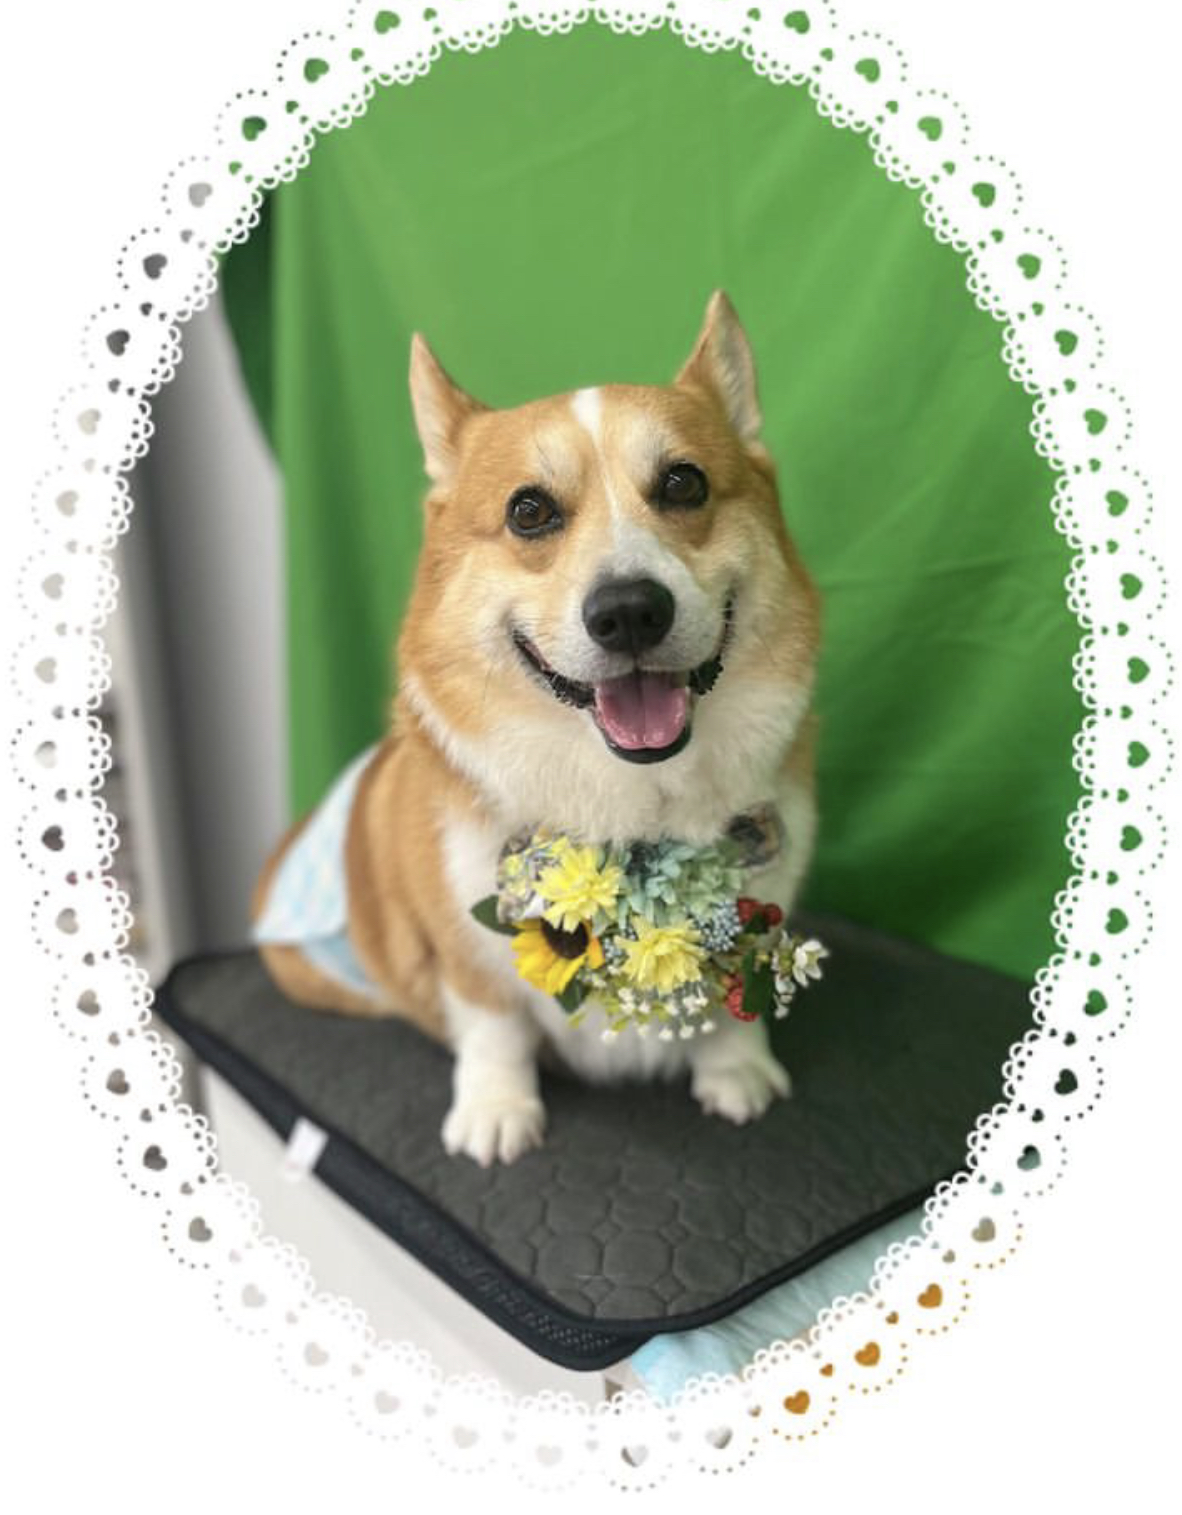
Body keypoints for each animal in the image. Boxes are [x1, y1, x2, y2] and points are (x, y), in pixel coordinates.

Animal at [253, 290, 821, 1166]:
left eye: (684, 482)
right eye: (529, 511)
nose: (629, 611)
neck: (632, 799)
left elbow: (728, 1006)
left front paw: (736, 1071)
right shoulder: (466, 953)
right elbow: (493, 1022)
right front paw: (496, 1109)